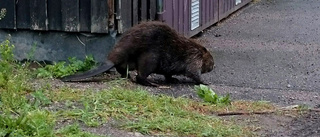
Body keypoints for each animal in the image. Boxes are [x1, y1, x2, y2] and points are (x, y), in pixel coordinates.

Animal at [61, 21, 214, 86]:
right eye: (211, 60)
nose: (213, 66)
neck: (194, 48)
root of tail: (111, 59)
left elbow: (168, 74)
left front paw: (173, 79)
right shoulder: (194, 57)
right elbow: (193, 72)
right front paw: (204, 82)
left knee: (123, 69)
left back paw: (128, 76)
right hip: (150, 58)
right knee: (140, 76)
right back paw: (152, 83)